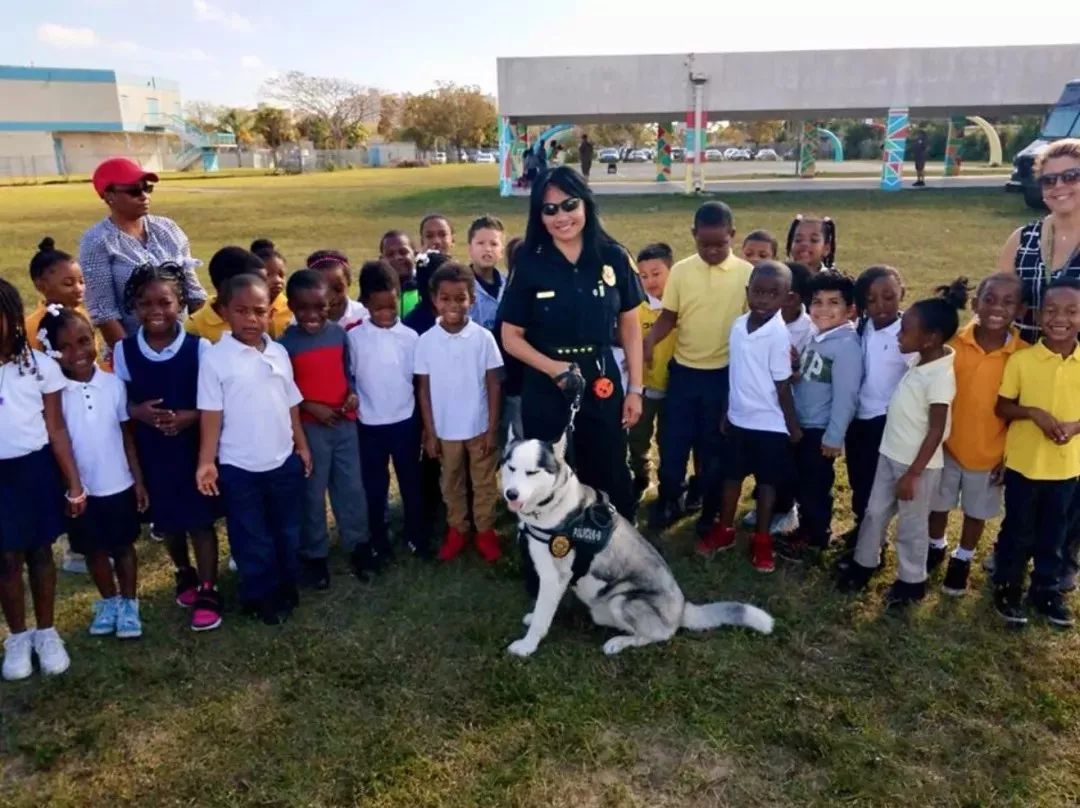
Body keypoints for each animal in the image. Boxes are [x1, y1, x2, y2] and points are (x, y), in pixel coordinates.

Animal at [501, 436, 773, 656]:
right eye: (511, 468)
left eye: (532, 472)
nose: (510, 494)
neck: (553, 503)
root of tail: (681, 609)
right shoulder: (556, 579)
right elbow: (543, 610)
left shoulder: (554, 577)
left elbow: (541, 617)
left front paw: (527, 646)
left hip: (623, 600)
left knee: (657, 636)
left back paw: (619, 643)